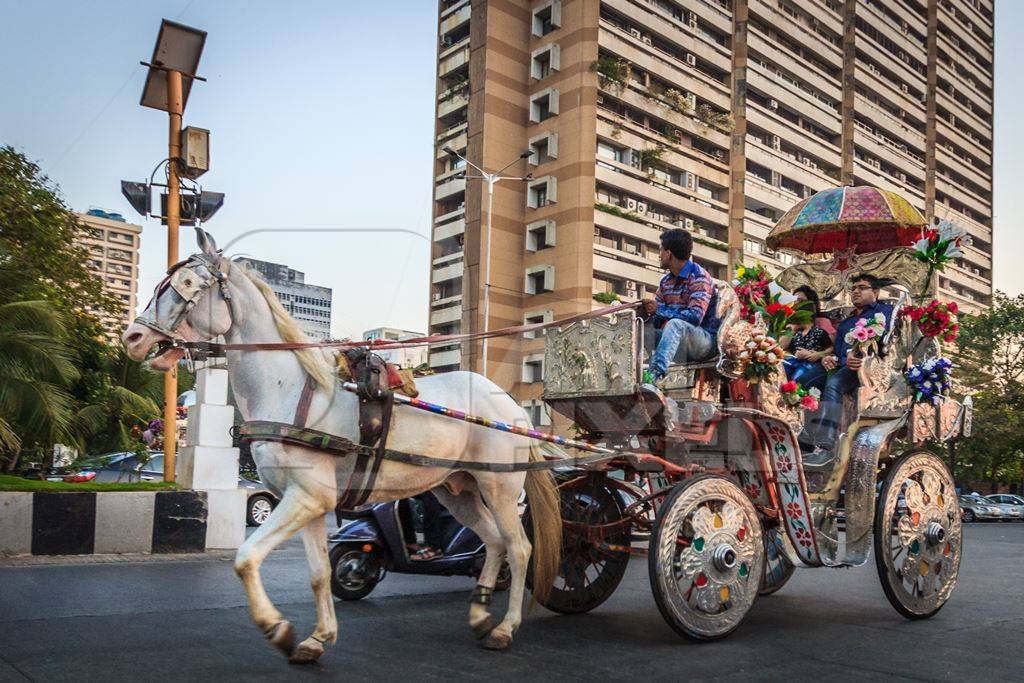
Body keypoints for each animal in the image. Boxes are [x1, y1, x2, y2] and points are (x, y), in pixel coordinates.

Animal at [125, 229, 569, 663]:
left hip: (500, 486)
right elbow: (320, 573)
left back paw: (506, 627)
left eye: (186, 284)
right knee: (493, 541)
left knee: (519, 548)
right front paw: (317, 638)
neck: (289, 388)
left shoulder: (306, 497)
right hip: (457, 489)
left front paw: (277, 627)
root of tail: (510, 404)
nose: (133, 337)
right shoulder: (309, 501)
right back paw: (479, 615)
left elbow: (246, 557)